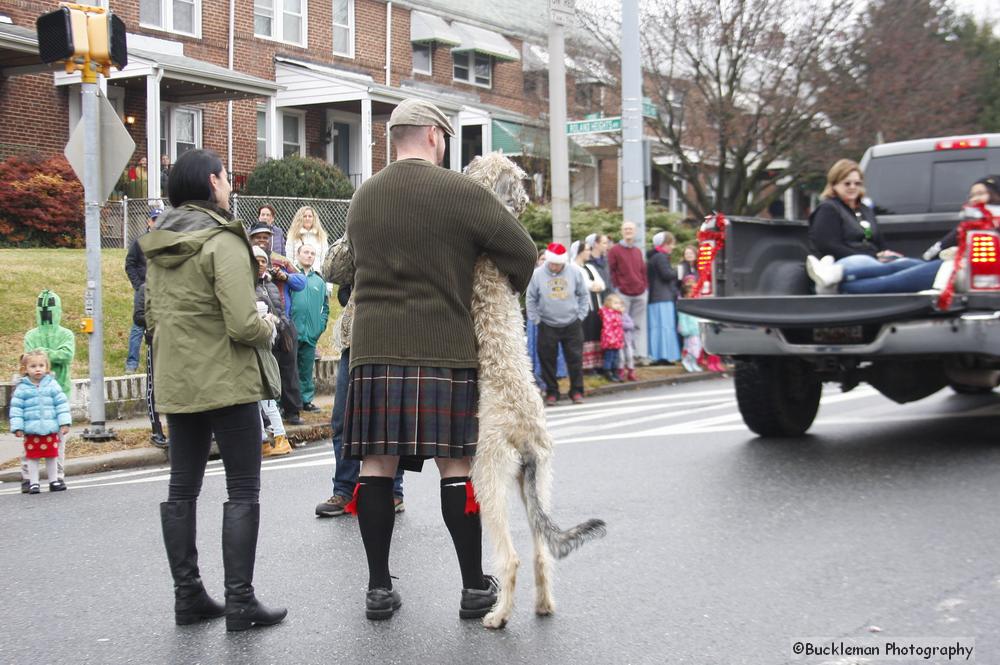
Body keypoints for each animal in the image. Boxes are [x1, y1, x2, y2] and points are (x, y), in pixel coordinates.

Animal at [464, 153, 604, 632]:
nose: (526, 203)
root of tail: (525, 432)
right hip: (537, 482)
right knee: (544, 553)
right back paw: (542, 606)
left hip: (489, 480)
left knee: (511, 559)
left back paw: (497, 616)